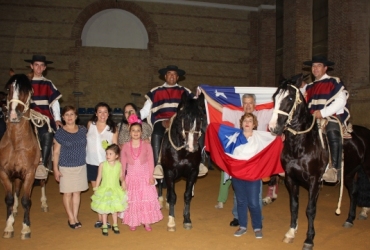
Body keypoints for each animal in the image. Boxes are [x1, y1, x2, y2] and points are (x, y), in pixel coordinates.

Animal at [160, 91, 204, 230]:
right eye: (184, 117)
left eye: (201, 118)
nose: (192, 146)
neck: (183, 152)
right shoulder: (168, 171)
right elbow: (173, 196)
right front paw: (171, 221)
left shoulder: (193, 172)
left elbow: (187, 195)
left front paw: (187, 219)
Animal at [268, 74, 370, 250]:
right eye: (275, 97)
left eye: (289, 97)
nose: (273, 128)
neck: (302, 145)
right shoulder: (290, 179)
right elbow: (294, 206)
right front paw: (291, 232)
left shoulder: (314, 181)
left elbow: (310, 209)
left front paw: (309, 239)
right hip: (349, 173)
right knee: (354, 191)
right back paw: (349, 219)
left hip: (367, 168)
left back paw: (363, 212)